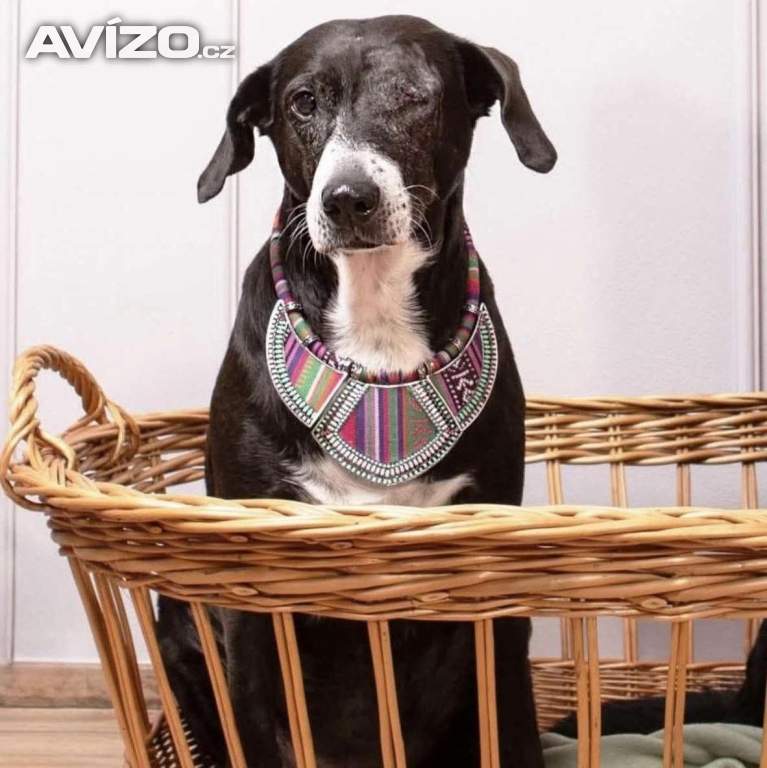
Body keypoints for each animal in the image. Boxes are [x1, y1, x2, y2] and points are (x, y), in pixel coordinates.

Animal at [158, 15, 557, 767]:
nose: (346, 199)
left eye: (414, 94)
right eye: (302, 102)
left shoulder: (495, 593)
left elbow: (514, 729)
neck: (374, 314)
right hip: (182, 642)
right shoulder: (247, 602)